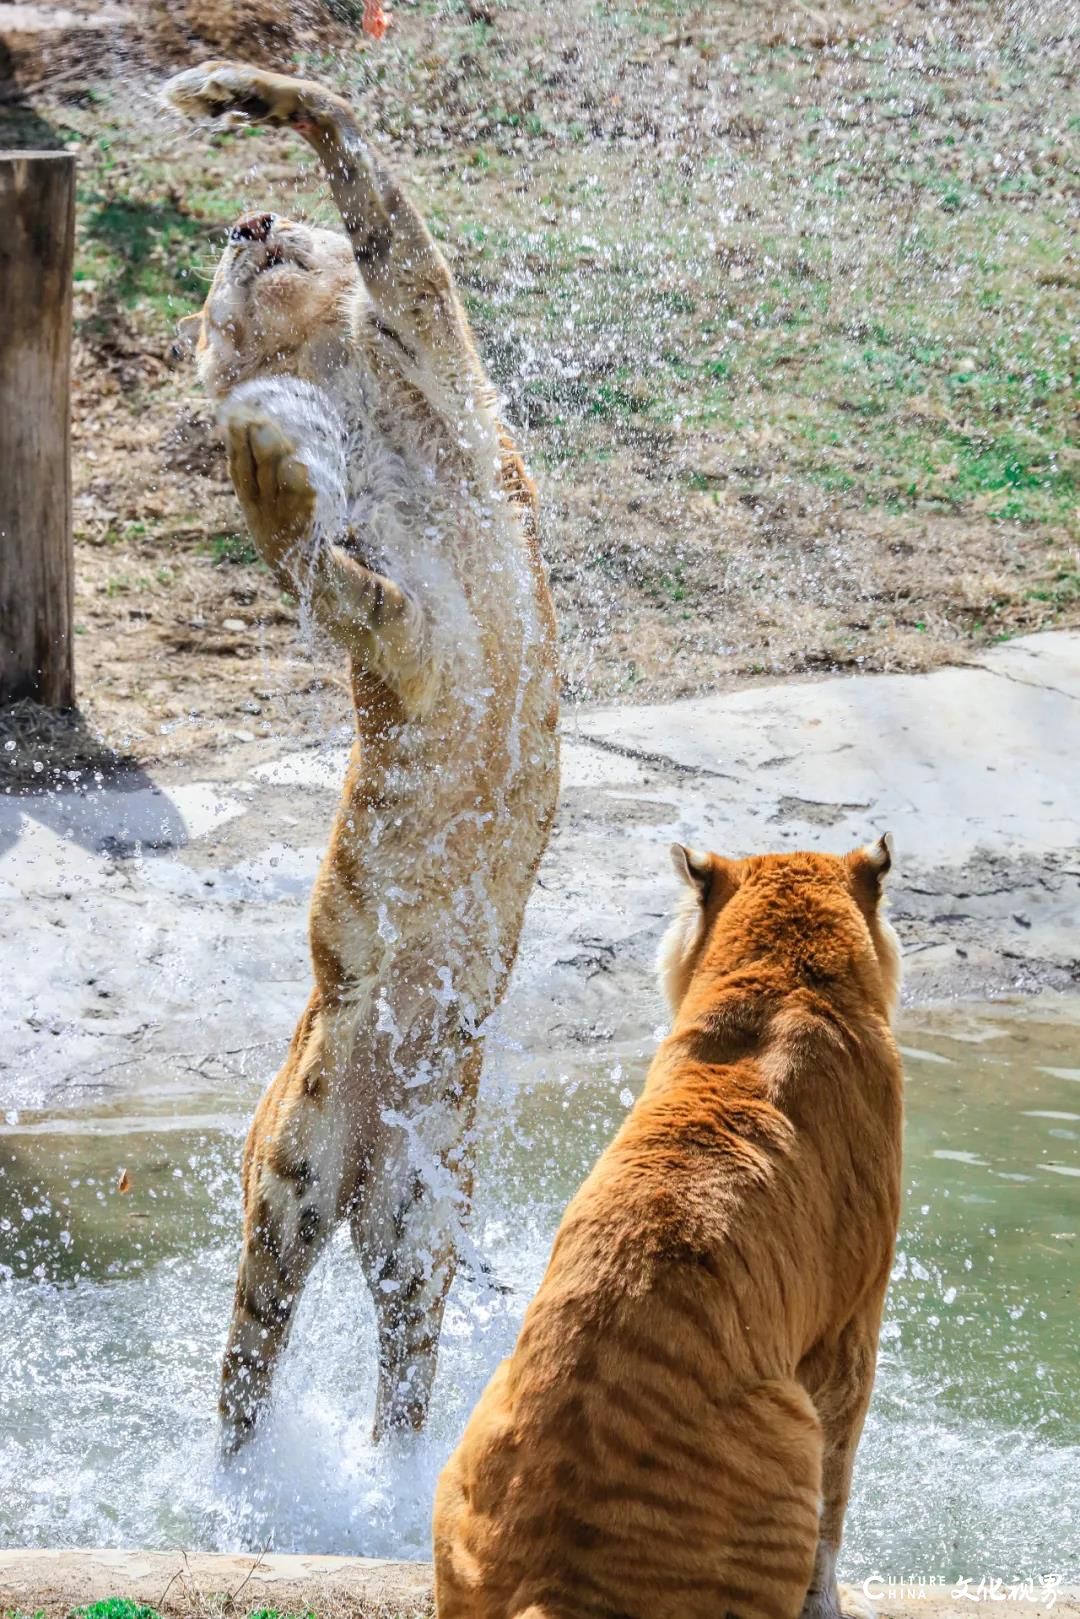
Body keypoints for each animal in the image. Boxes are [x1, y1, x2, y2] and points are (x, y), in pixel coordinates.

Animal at [166, 63, 566, 1457]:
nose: (246, 218)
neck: (345, 368)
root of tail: (362, 1162)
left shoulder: (427, 320)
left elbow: (353, 148)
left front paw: (227, 93)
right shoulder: (394, 619)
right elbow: (316, 548)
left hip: (423, 1208)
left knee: (403, 1371)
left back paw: (402, 1478)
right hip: (287, 1177)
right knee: (245, 1366)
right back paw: (242, 1489)